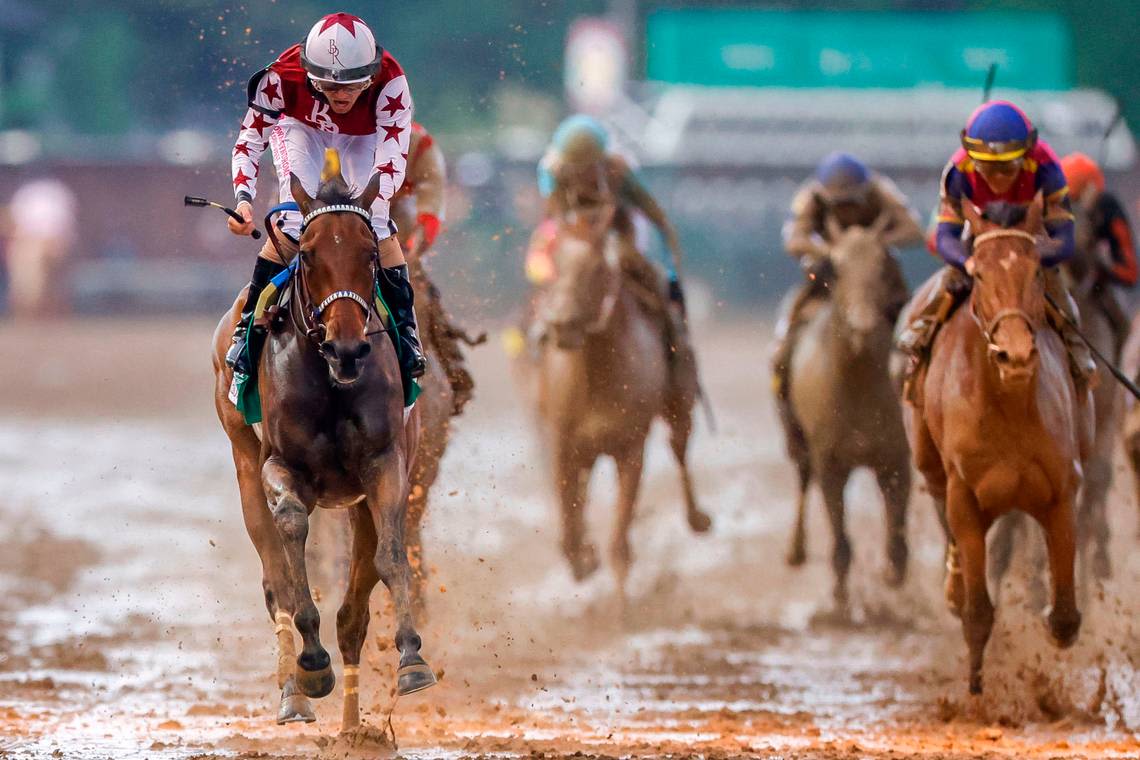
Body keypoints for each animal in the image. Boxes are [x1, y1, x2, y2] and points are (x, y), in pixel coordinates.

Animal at [212, 159, 433, 729]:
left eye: (371, 255)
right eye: (308, 255)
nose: (347, 347)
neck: (332, 382)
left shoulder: (384, 465)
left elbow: (392, 556)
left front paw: (412, 658)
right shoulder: (281, 467)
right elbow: (291, 540)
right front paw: (312, 665)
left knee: (354, 611)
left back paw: (354, 728)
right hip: (244, 464)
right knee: (275, 584)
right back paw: (293, 694)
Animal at [902, 198, 1089, 697]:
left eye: (1037, 271)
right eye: (980, 274)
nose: (1016, 354)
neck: (1009, 404)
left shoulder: (1061, 491)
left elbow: (1065, 616)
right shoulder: (965, 496)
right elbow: (977, 612)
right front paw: (976, 692)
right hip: (929, 464)